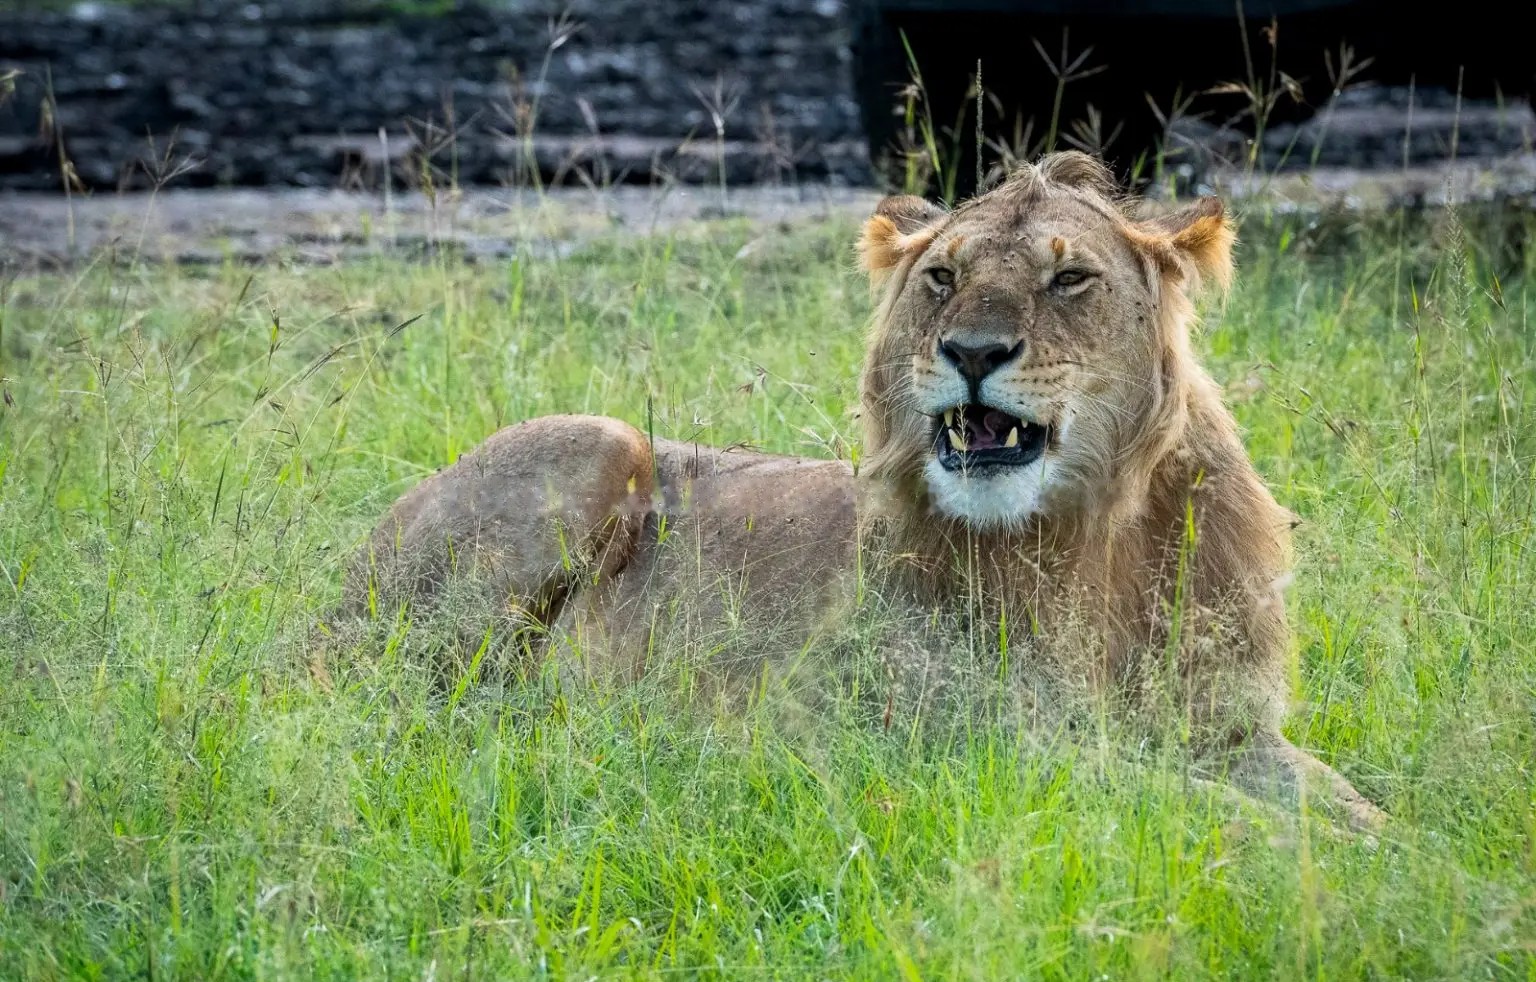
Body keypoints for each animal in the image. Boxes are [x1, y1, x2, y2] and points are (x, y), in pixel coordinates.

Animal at [337, 151, 1385, 831]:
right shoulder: (982, 745)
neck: (1093, 540)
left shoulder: (1229, 725)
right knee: (389, 699)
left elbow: (1347, 800)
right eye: (943, 277)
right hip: (595, 444)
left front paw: (1405, 854)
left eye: (1071, 279)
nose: (972, 352)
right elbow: (1198, 807)